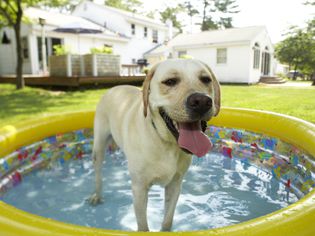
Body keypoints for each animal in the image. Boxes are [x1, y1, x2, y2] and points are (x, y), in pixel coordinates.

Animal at [89, 58, 221, 230]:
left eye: (206, 79)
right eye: (170, 81)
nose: (202, 101)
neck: (166, 142)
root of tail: (114, 88)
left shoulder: (175, 184)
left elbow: (167, 220)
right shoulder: (139, 188)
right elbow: (143, 226)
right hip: (98, 146)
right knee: (98, 174)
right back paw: (97, 195)